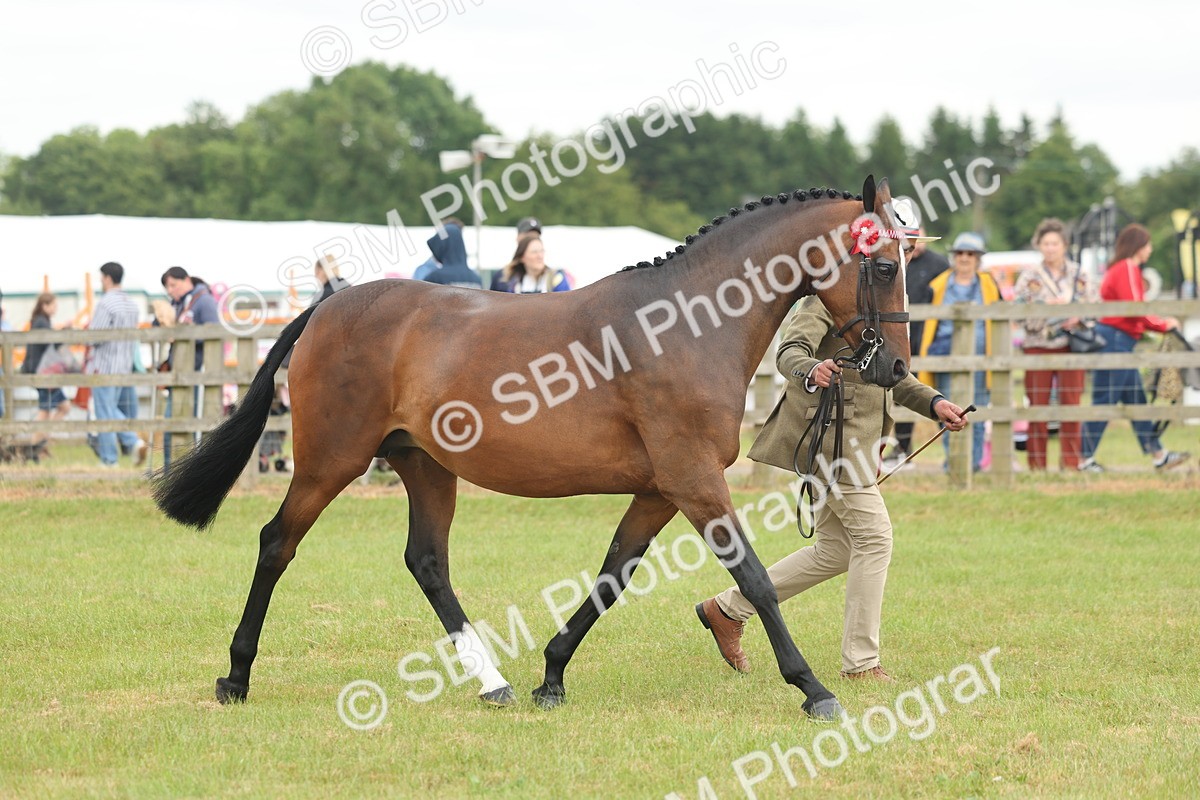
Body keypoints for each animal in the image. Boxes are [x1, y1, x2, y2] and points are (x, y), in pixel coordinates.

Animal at [153, 176, 914, 721]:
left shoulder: (658, 489)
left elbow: (613, 574)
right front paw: (813, 688)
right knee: (277, 543)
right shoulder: (693, 479)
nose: (894, 368)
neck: (685, 324)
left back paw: (493, 682)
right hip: (328, 461)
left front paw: (551, 674)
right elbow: (753, 577)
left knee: (426, 562)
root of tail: (329, 305)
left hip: (424, 465)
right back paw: (236, 675)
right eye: (882, 266)